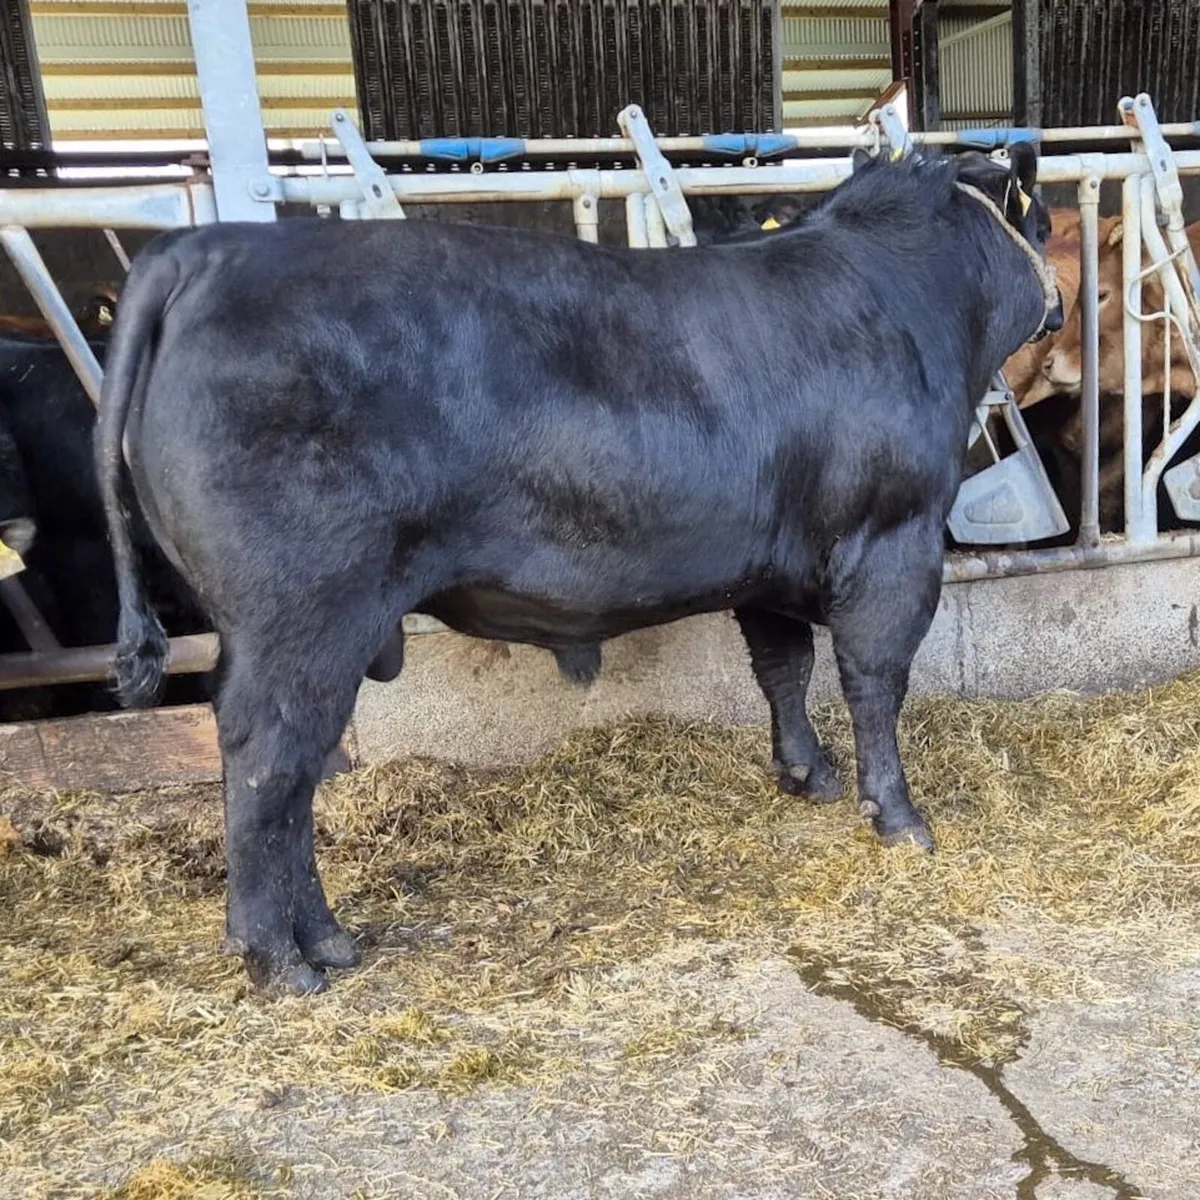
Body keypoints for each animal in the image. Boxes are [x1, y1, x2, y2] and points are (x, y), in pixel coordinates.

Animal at [95, 146, 1062, 996]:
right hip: (304, 612)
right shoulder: (894, 537)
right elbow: (874, 680)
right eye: (1045, 222)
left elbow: (782, 668)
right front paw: (898, 818)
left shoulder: (774, 561)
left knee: (284, 774)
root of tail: (204, 249)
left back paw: (326, 941)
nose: (1057, 308)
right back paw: (284, 961)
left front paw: (805, 776)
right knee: (269, 765)